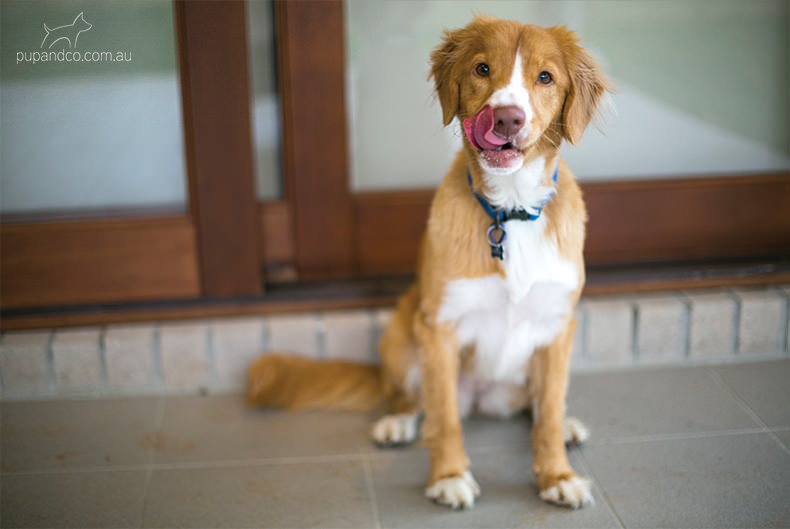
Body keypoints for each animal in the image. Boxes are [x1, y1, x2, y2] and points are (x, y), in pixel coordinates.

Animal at [248, 16, 612, 510]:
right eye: (482, 68)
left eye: (545, 77)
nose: (506, 118)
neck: (510, 209)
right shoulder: (439, 327)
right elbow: (444, 418)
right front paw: (449, 476)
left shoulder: (557, 326)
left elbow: (549, 416)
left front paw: (557, 475)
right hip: (401, 332)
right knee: (410, 400)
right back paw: (397, 422)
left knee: (536, 406)